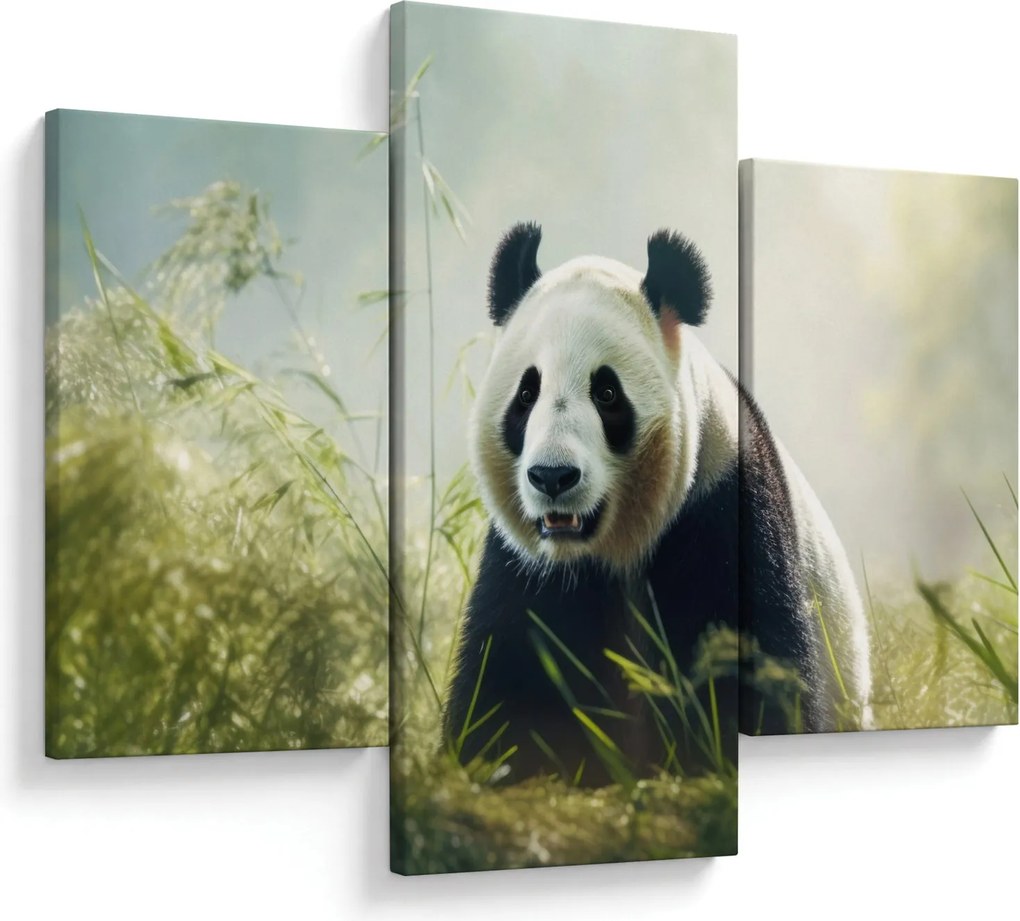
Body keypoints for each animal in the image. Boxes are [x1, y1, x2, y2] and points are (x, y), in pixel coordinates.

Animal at [442, 222, 872, 782]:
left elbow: (749, 670)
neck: (608, 548)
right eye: (526, 393)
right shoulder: (527, 566)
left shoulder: (723, 509)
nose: (552, 476)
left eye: (606, 393)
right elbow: (510, 678)